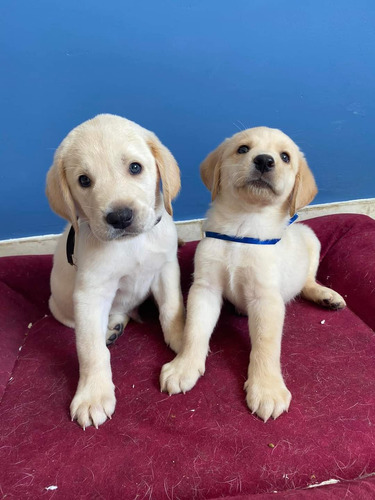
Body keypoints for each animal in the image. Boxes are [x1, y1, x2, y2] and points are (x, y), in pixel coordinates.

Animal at [47, 114, 185, 430]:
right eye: (84, 180)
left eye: (135, 167)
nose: (120, 217)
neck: (131, 245)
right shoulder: (90, 294)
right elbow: (90, 349)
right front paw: (93, 396)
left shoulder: (166, 269)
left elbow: (172, 308)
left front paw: (184, 337)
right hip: (61, 308)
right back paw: (110, 330)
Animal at [161, 126, 346, 422]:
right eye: (243, 149)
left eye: (285, 157)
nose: (264, 161)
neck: (243, 226)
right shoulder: (205, 288)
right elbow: (194, 330)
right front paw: (184, 367)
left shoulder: (266, 299)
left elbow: (265, 345)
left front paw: (267, 389)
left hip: (311, 239)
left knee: (308, 281)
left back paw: (327, 295)